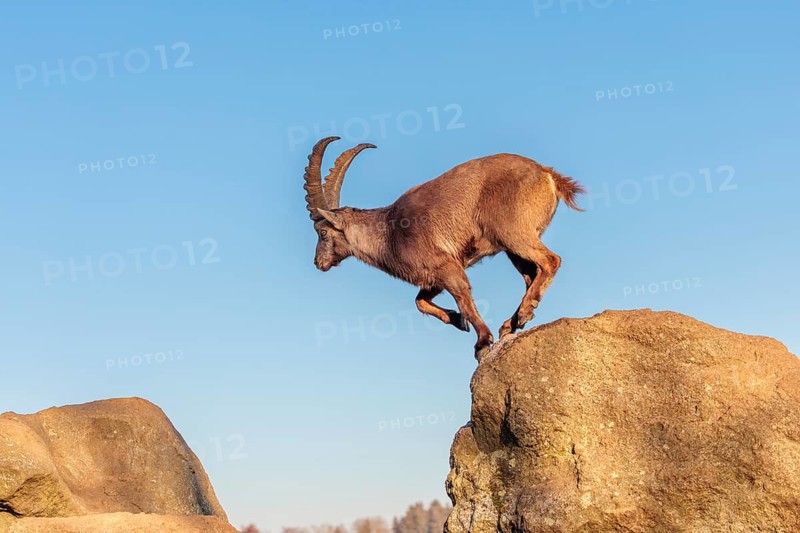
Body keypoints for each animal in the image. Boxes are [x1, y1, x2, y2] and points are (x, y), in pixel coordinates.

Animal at [303, 136, 585, 358]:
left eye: (322, 232)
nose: (318, 263)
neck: (390, 233)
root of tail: (548, 175)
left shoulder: (447, 265)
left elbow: (462, 296)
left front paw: (482, 342)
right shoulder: (432, 278)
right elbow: (420, 302)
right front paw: (458, 321)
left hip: (514, 234)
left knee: (550, 261)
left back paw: (522, 315)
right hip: (512, 247)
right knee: (531, 274)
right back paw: (512, 323)